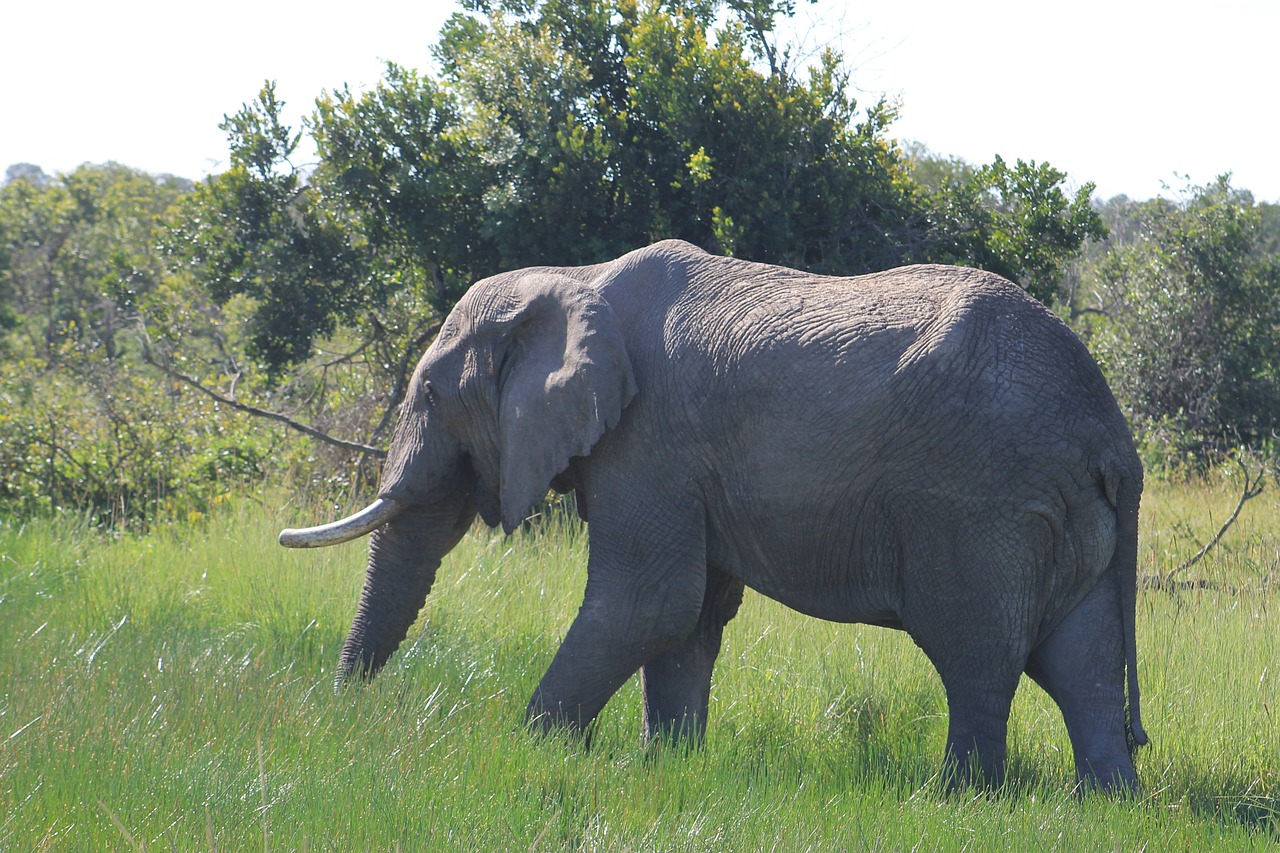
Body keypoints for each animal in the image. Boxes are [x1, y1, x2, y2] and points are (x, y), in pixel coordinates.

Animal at [282, 235, 1152, 788]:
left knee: (978, 655)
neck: (573, 277)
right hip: (1064, 508)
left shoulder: (647, 442)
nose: (345, 715)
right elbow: (689, 615)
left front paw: (531, 746)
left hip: (981, 503)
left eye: (430, 394)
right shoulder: (681, 465)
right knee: (1084, 661)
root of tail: (1112, 433)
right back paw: (1105, 803)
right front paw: (665, 766)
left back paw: (957, 799)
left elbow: (648, 603)